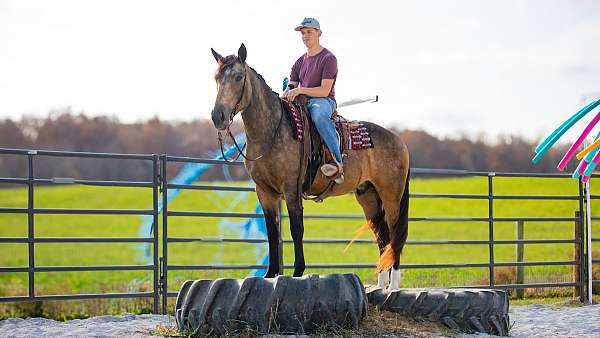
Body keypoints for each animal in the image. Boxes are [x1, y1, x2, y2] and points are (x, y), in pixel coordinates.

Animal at [209, 43, 410, 290]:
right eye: (216, 77)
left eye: (238, 77)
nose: (218, 116)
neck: (272, 131)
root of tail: (398, 140)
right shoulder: (264, 192)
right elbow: (272, 232)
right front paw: (270, 274)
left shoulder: (291, 188)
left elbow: (297, 229)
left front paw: (297, 272)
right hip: (369, 197)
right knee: (383, 237)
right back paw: (381, 285)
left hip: (391, 196)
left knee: (395, 234)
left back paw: (393, 286)